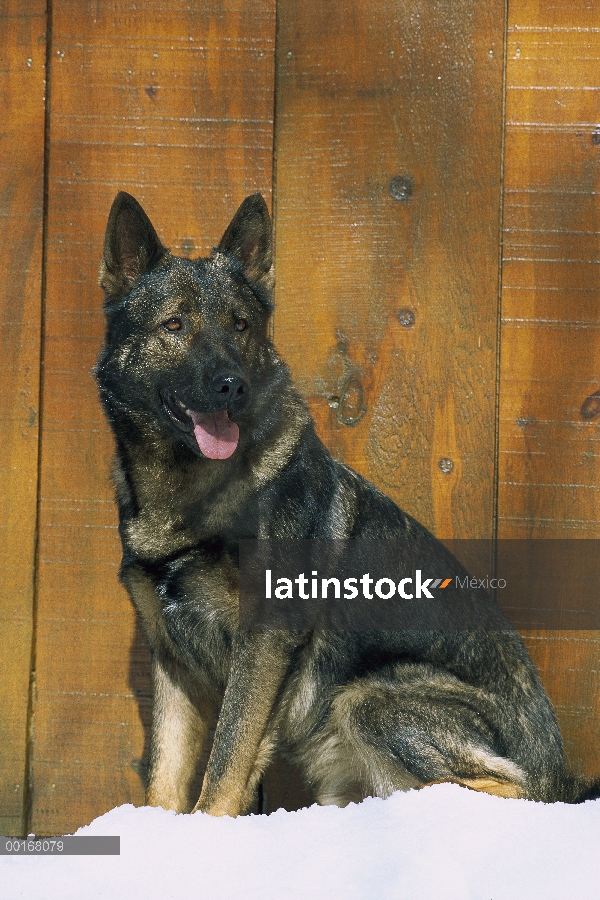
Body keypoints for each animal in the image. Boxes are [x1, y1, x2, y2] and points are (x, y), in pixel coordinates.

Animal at [96, 192, 592, 816]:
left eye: (240, 325)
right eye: (174, 324)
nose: (232, 385)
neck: (190, 491)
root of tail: (559, 777)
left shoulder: (262, 643)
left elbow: (228, 761)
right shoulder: (172, 660)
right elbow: (165, 775)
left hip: (369, 697)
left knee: (505, 791)